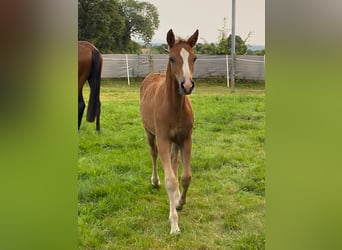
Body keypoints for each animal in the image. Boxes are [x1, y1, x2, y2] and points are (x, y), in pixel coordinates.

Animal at [139, 29, 198, 234]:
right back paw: (155, 181)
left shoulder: (186, 139)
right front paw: (174, 224)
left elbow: (186, 176)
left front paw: (179, 202)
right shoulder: (163, 139)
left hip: (176, 141)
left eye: (194, 58)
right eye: (172, 58)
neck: (174, 106)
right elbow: (170, 181)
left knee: (174, 161)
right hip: (150, 134)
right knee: (154, 154)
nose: (187, 85)